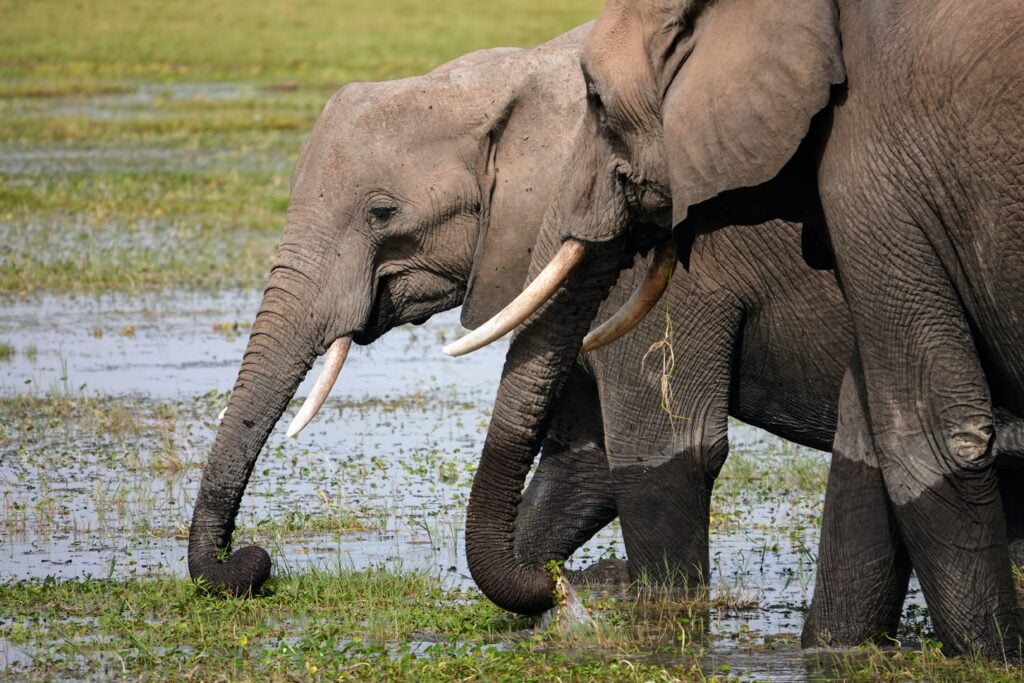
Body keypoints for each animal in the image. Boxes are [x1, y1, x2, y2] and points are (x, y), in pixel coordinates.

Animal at [454, 0, 1024, 663]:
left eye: (594, 99)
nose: (562, 584)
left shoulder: (871, 173)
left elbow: (920, 436)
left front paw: (990, 659)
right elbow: (867, 436)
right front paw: (834, 654)